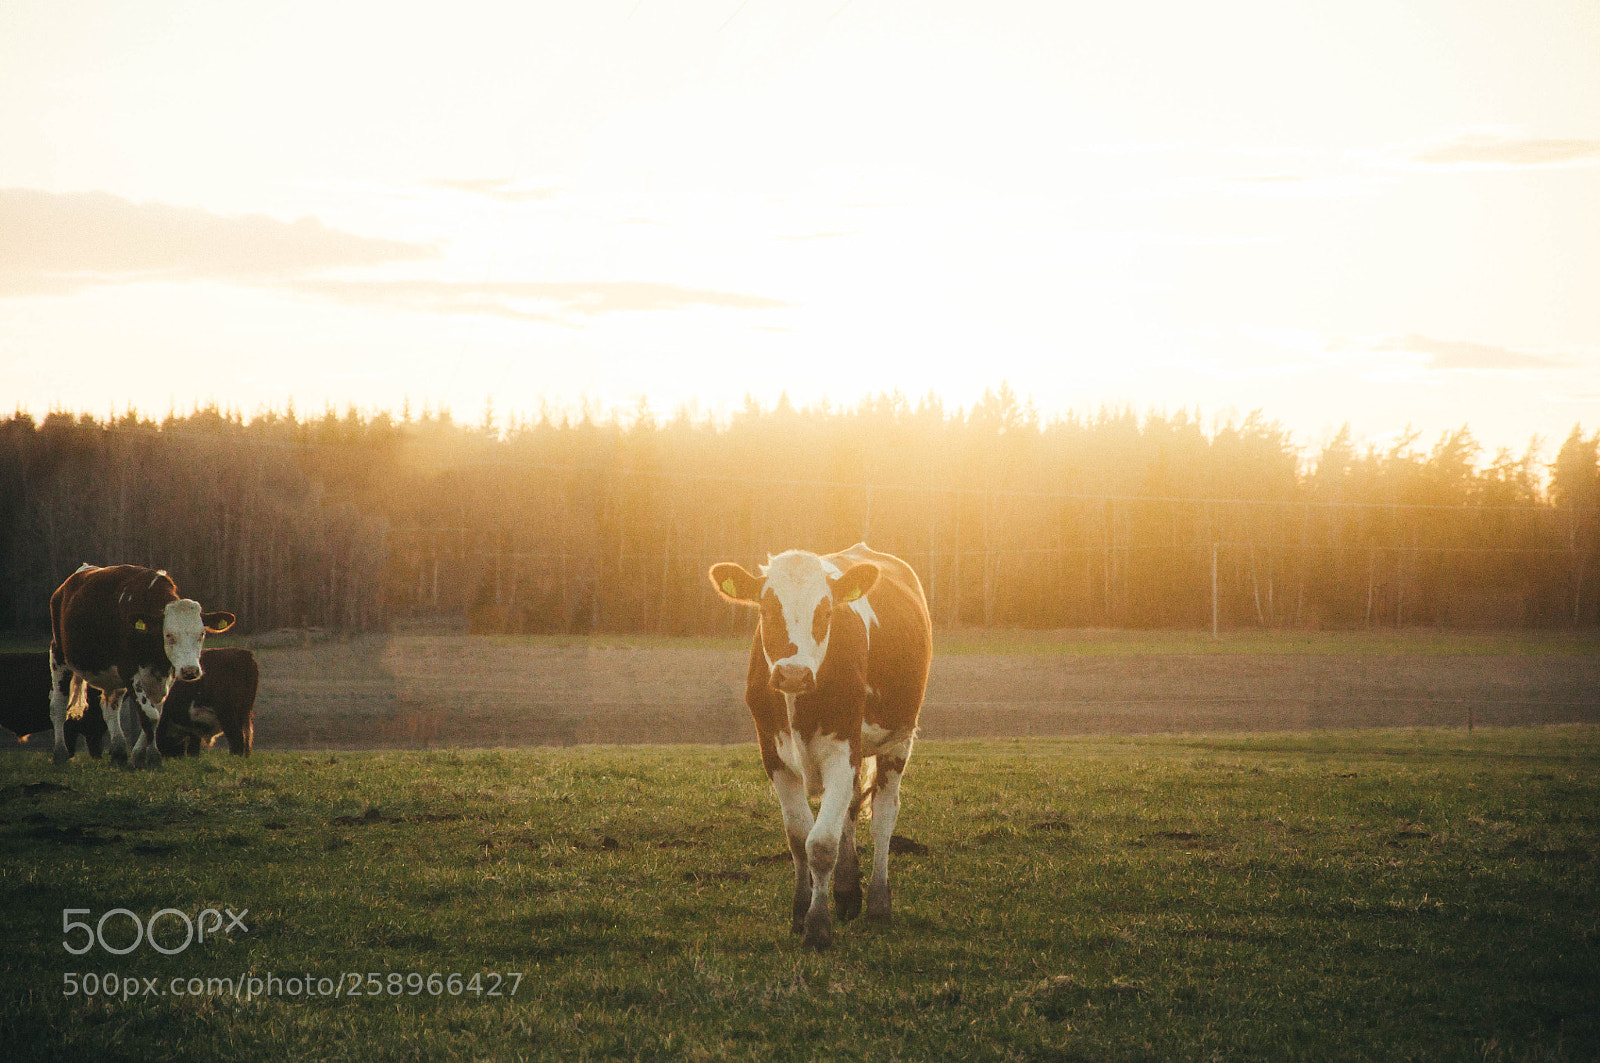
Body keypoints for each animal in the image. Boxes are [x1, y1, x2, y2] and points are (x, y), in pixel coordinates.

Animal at [49, 564, 236, 769]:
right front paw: (153, 758)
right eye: (168, 635)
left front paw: (139, 755)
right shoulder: (129, 671)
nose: (190, 671)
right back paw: (60, 753)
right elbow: (149, 715)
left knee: (110, 708)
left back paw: (118, 752)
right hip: (58, 655)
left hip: (113, 678)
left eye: (201, 633)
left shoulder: (165, 676)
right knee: (58, 705)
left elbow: (156, 714)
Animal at [709, 542, 932, 950]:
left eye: (826, 612)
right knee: (850, 811)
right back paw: (846, 892)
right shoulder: (773, 756)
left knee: (883, 816)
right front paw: (800, 912)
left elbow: (822, 843)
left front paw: (818, 926)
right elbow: (799, 838)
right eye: (766, 610)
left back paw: (878, 902)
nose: (793, 673)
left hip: (899, 738)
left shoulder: (844, 751)